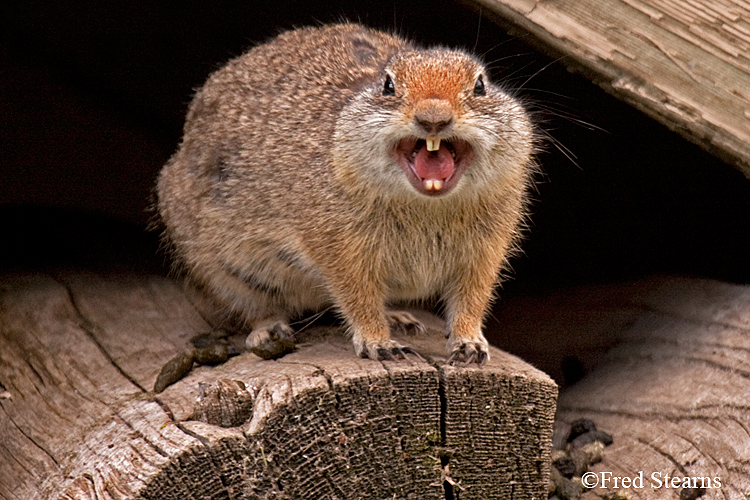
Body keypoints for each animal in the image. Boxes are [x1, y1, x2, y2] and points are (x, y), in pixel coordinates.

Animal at [157, 22, 536, 364]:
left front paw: (470, 344)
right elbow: (358, 298)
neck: (428, 207)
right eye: (387, 85)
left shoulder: (486, 252)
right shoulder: (340, 249)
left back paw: (400, 317)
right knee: (254, 308)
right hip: (227, 272)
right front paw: (379, 343)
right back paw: (270, 330)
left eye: (480, 85)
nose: (433, 118)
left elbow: (471, 300)